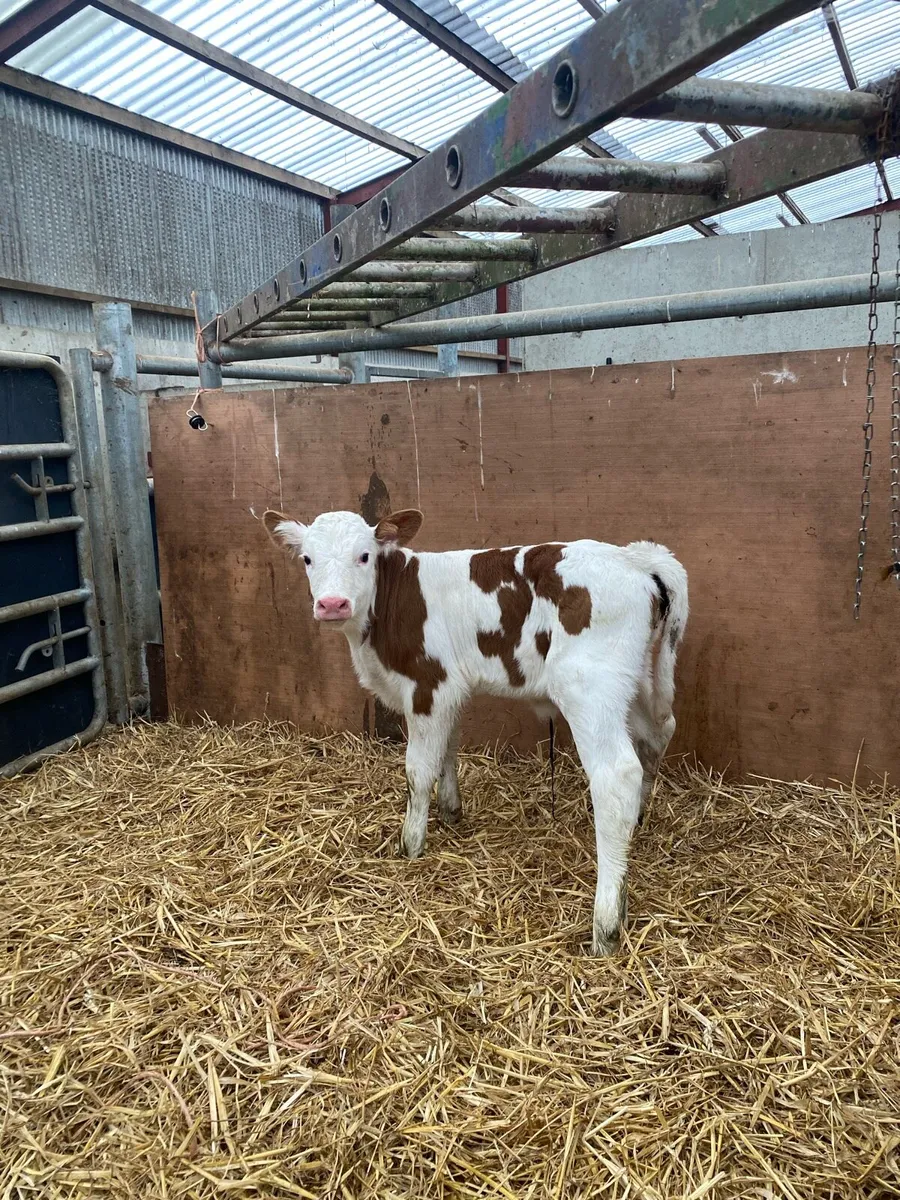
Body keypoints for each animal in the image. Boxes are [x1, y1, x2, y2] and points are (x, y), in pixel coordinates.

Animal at [264, 507, 687, 955]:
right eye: (307, 559)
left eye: (363, 555)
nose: (331, 604)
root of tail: (635, 558)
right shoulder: (451, 690)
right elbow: (448, 748)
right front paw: (451, 810)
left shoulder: (428, 685)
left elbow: (418, 771)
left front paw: (410, 845)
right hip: (635, 683)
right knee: (657, 733)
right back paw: (636, 826)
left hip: (589, 688)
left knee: (617, 777)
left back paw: (606, 924)